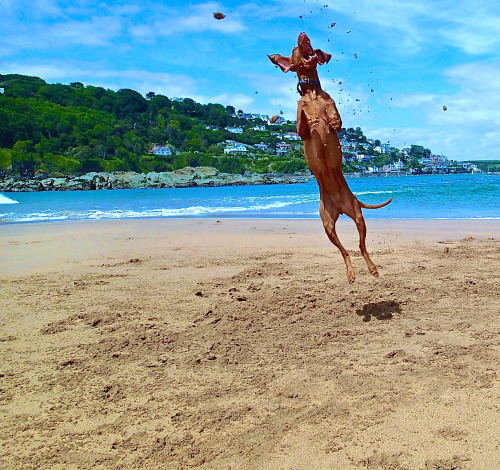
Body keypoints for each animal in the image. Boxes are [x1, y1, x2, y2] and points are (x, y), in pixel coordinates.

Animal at [270, 34, 390, 282]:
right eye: (295, 47)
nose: (303, 34)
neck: (312, 92)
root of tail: (340, 207)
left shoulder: (335, 113)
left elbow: (334, 115)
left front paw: (329, 118)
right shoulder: (302, 131)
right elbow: (302, 118)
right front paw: (308, 113)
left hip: (358, 216)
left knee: (361, 247)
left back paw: (371, 268)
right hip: (327, 226)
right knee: (345, 251)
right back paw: (351, 272)